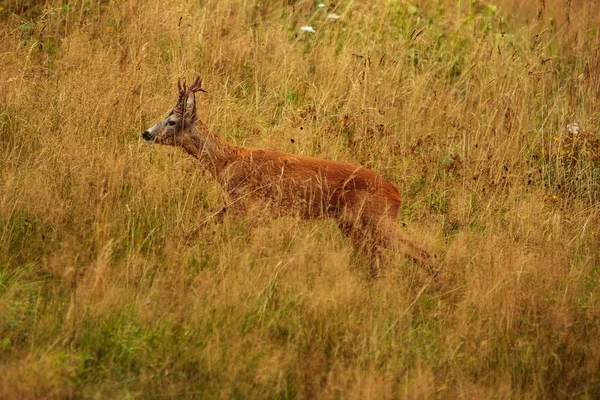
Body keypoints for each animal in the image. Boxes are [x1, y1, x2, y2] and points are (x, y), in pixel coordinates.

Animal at [143, 76, 438, 276]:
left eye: (172, 121)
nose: (146, 133)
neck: (227, 161)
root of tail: (396, 192)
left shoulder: (253, 205)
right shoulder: (236, 204)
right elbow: (202, 225)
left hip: (376, 220)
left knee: (422, 253)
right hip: (355, 225)